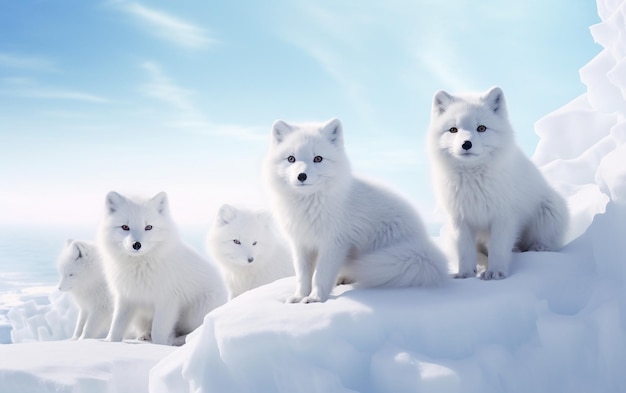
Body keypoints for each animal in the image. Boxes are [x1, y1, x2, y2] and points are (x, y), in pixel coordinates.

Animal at [96, 191, 225, 344]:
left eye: (148, 227)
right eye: (125, 227)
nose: (136, 245)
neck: (139, 268)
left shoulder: (167, 300)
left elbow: (158, 331)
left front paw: (159, 346)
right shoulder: (126, 296)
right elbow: (117, 324)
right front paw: (110, 341)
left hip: (196, 314)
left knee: (193, 331)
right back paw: (145, 336)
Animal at [260, 117, 446, 304]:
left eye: (318, 158)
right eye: (291, 158)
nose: (301, 176)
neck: (308, 206)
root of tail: (423, 245)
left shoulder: (334, 243)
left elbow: (320, 275)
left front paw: (316, 299)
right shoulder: (301, 244)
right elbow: (303, 276)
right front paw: (299, 297)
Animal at [426, 87, 568, 280]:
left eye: (481, 128)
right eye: (453, 129)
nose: (466, 144)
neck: (473, 178)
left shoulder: (504, 217)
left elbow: (498, 249)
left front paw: (496, 272)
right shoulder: (460, 220)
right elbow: (465, 251)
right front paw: (465, 274)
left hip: (549, 211)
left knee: (546, 243)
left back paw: (538, 248)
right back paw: (480, 267)